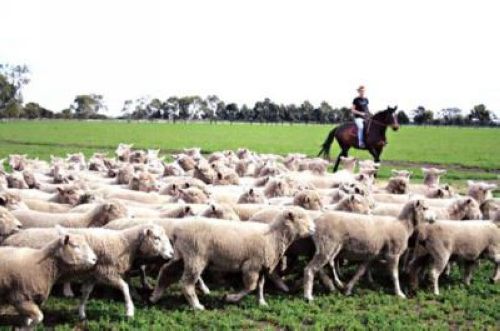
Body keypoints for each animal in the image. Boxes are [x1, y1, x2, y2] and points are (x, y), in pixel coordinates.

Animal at [3, 224, 174, 320]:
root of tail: (9, 239)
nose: (172, 254)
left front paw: (81, 314)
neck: (124, 244)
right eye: (157, 238)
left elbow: (85, 294)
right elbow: (125, 287)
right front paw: (130, 311)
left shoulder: (93, 275)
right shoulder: (106, 272)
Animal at [150, 209, 316, 310]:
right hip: (195, 257)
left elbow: (260, 286)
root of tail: (177, 230)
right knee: (186, 283)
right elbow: (250, 287)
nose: (314, 228)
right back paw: (197, 306)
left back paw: (155, 296)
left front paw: (261, 302)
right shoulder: (251, 266)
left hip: (182, 256)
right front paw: (230, 298)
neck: (274, 236)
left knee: (166, 271)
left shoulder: (261, 266)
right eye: (301, 218)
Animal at [302, 198, 436, 302]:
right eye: (424, 208)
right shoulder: (393, 254)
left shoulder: (372, 255)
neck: (403, 226)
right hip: (327, 245)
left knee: (319, 268)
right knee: (310, 269)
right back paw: (308, 296)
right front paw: (399, 293)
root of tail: (316, 222)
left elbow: (360, 272)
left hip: (327, 248)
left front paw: (348, 289)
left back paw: (332, 284)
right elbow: (394, 275)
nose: (434, 218)